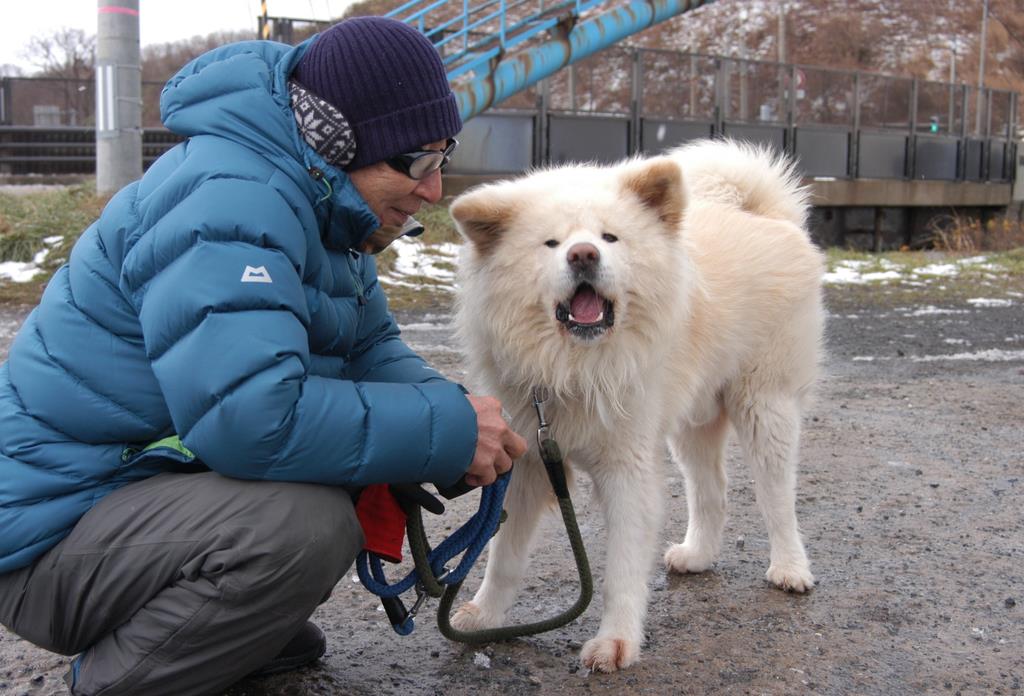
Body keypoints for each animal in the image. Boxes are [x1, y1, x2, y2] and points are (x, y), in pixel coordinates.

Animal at [446, 138, 823, 671]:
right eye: (551, 244)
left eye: (610, 237)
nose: (583, 254)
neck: (575, 366)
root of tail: (768, 216)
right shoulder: (531, 465)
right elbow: (502, 557)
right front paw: (483, 617)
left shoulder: (626, 469)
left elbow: (620, 569)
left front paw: (616, 642)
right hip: (692, 423)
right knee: (712, 491)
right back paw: (697, 555)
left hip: (765, 407)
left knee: (777, 498)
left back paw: (790, 568)